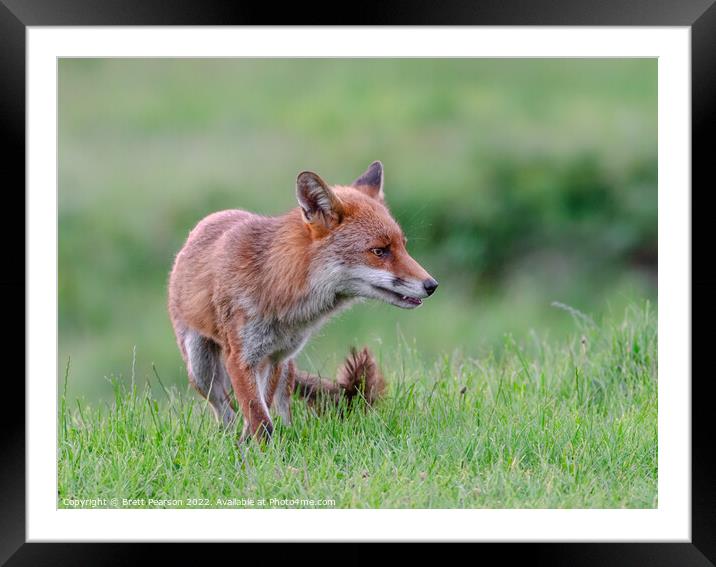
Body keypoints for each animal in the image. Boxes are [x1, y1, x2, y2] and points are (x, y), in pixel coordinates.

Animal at [168, 162, 436, 442]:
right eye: (379, 251)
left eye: (403, 246)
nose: (432, 285)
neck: (276, 284)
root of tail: (205, 222)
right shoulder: (241, 358)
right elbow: (260, 420)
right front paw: (254, 450)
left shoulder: (275, 356)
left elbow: (263, 413)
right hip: (200, 369)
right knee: (225, 409)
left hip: (284, 367)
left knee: (281, 405)